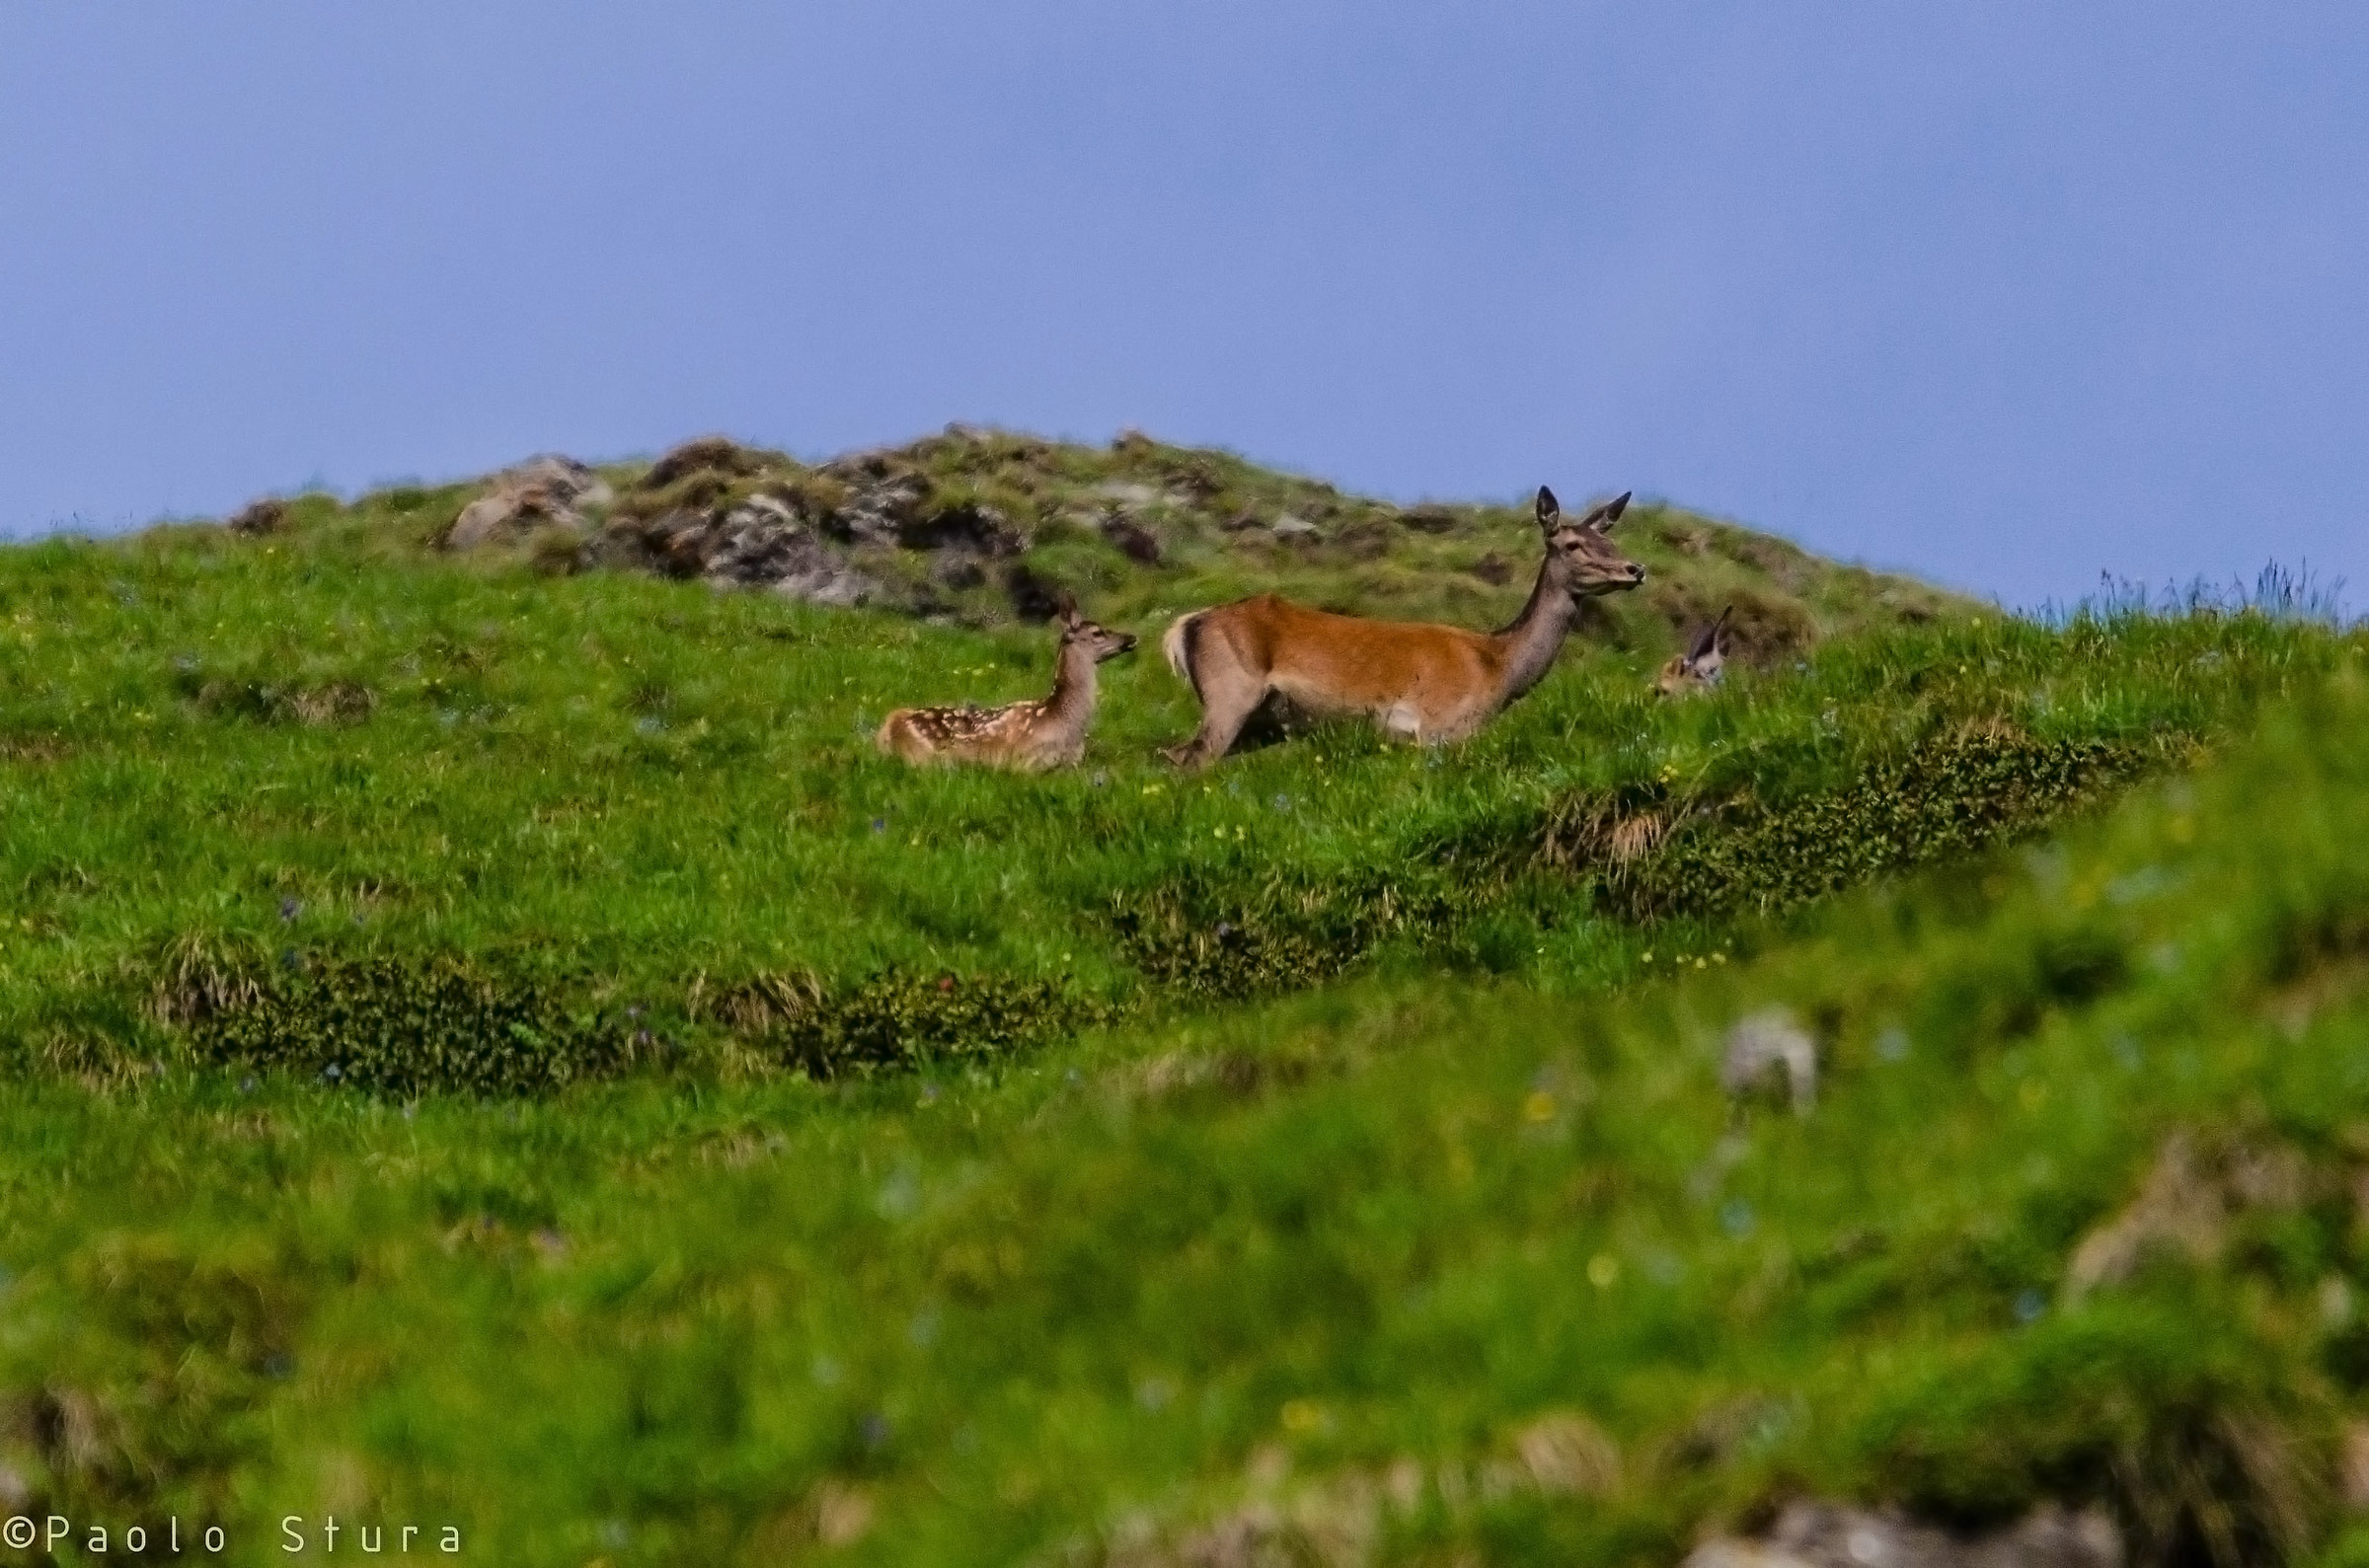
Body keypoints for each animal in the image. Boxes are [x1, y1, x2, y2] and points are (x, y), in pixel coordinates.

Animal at [1158, 486, 1643, 767]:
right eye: (1572, 544)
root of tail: (1183, 625)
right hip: (1230, 693)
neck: (1498, 669)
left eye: (1610, 538)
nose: (1635, 569)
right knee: (1188, 759)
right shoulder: (1439, 729)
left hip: (1257, 724)